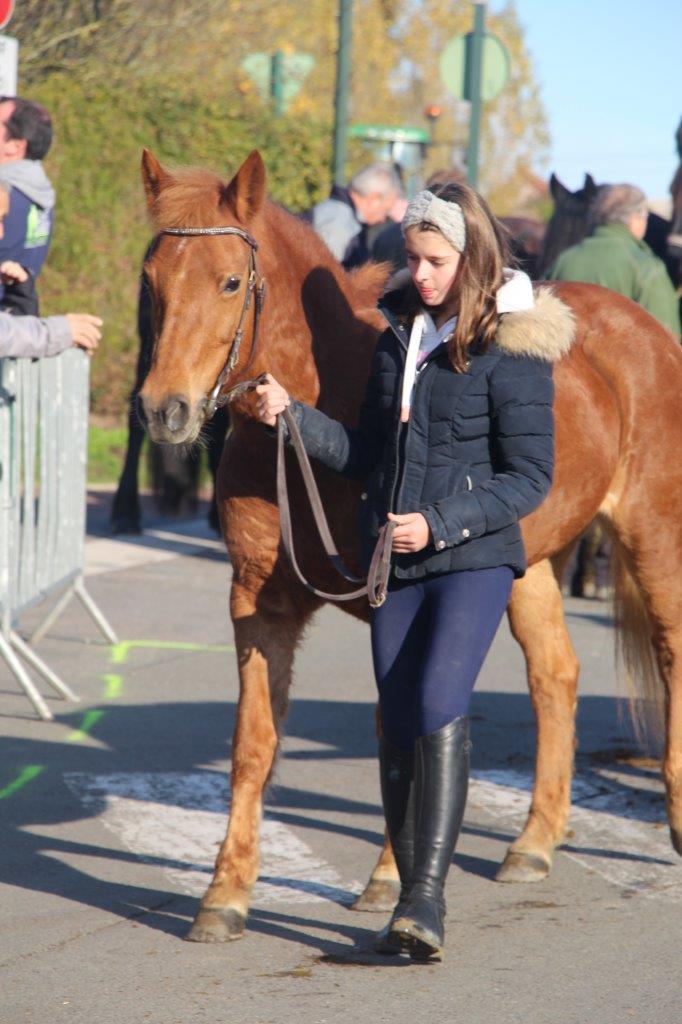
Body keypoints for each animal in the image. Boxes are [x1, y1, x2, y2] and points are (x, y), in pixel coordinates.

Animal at [138, 148, 679, 937]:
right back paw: (534, 841)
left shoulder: (390, 597)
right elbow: (254, 745)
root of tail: (646, 329)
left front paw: (392, 880)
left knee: (670, 654)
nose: (164, 409)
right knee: (555, 675)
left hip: (653, 535)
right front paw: (226, 893)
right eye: (151, 280)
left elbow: (404, 723)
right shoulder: (258, 602)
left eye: (231, 281)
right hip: (529, 565)